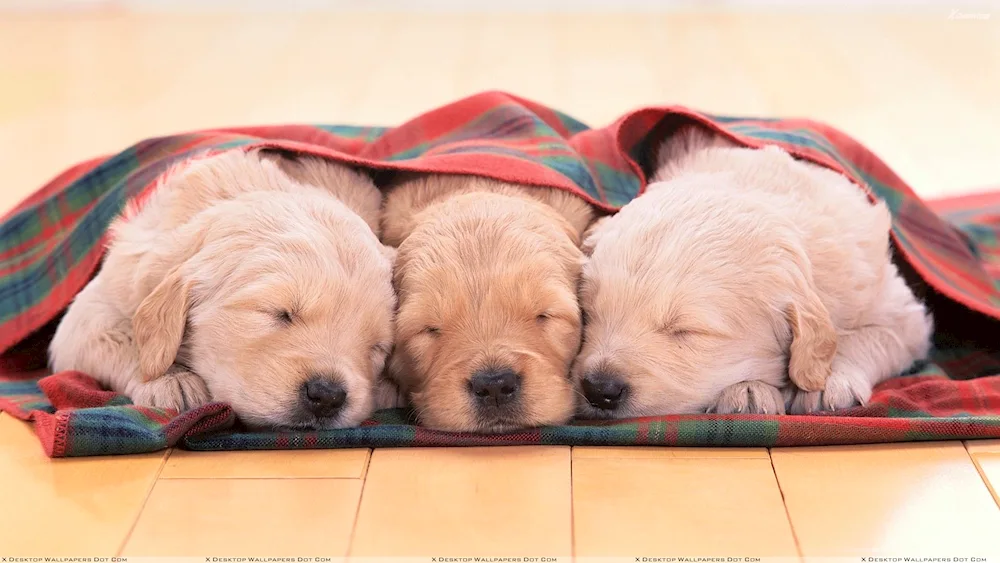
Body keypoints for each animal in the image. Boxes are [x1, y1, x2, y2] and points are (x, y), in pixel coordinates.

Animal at [46, 148, 398, 430]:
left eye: (376, 347)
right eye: (280, 314)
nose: (327, 396)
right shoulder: (88, 312)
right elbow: (124, 336)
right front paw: (172, 380)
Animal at [576, 128, 932, 418]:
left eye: (685, 331)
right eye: (589, 313)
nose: (598, 389)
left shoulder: (902, 315)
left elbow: (870, 336)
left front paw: (827, 381)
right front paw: (748, 389)